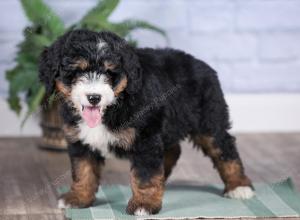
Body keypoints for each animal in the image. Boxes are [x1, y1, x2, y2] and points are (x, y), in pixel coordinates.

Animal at [38, 29, 253, 217]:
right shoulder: (80, 140)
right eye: (76, 72)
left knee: (225, 149)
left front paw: (144, 204)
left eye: (109, 73)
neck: (115, 105)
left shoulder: (145, 138)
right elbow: (83, 170)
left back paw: (239, 186)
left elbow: (145, 175)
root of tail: (202, 65)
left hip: (209, 121)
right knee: (173, 150)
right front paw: (79, 198)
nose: (94, 97)